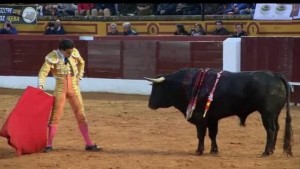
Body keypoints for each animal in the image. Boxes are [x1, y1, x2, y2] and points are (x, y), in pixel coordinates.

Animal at [145, 68, 292, 157]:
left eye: (157, 88)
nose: (150, 105)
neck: (189, 85)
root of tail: (275, 75)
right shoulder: (212, 118)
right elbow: (212, 134)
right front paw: (214, 150)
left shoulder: (200, 118)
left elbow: (201, 134)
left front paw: (199, 150)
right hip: (275, 114)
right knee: (277, 128)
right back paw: (272, 150)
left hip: (267, 113)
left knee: (271, 130)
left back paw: (266, 151)